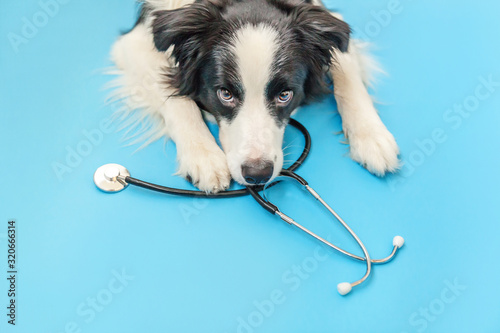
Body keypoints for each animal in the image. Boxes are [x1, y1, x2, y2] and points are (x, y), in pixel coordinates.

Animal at [111, 0, 400, 192]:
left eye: (285, 95)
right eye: (225, 94)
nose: (257, 174)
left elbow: (347, 74)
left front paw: (371, 137)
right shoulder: (133, 42)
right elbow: (173, 96)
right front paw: (203, 156)